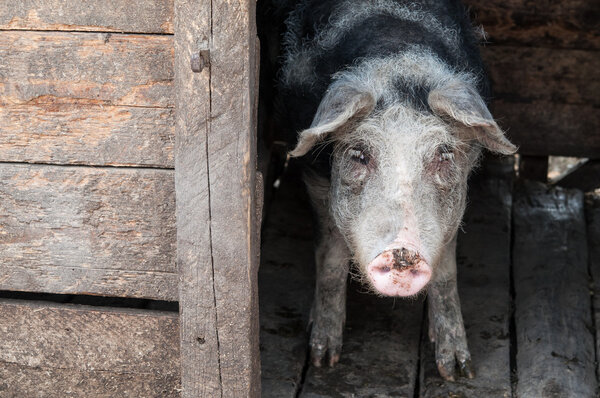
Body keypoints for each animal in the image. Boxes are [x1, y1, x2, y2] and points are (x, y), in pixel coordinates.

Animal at [276, 0, 516, 380]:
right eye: (359, 154)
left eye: (444, 155)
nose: (403, 250)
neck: (398, 62)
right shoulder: (313, 175)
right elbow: (330, 256)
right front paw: (323, 358)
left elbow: (447, 271)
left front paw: (458, 371)